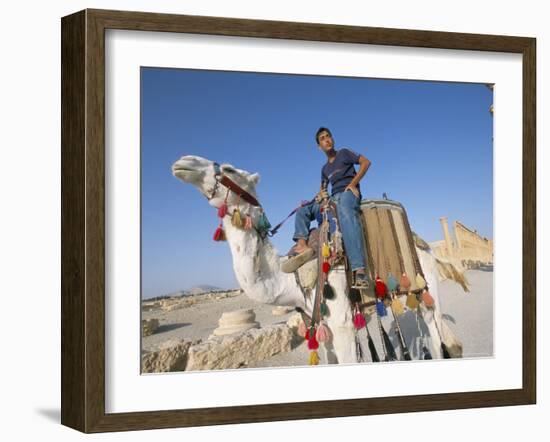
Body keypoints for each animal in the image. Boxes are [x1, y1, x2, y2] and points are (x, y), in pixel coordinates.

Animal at [172, 155, 466, 362]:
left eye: (230, 169)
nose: (184, 162)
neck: (291, 279)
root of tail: (426, 246)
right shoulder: (322, 329)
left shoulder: (342, 324)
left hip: (427, 287)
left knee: (437, 337)